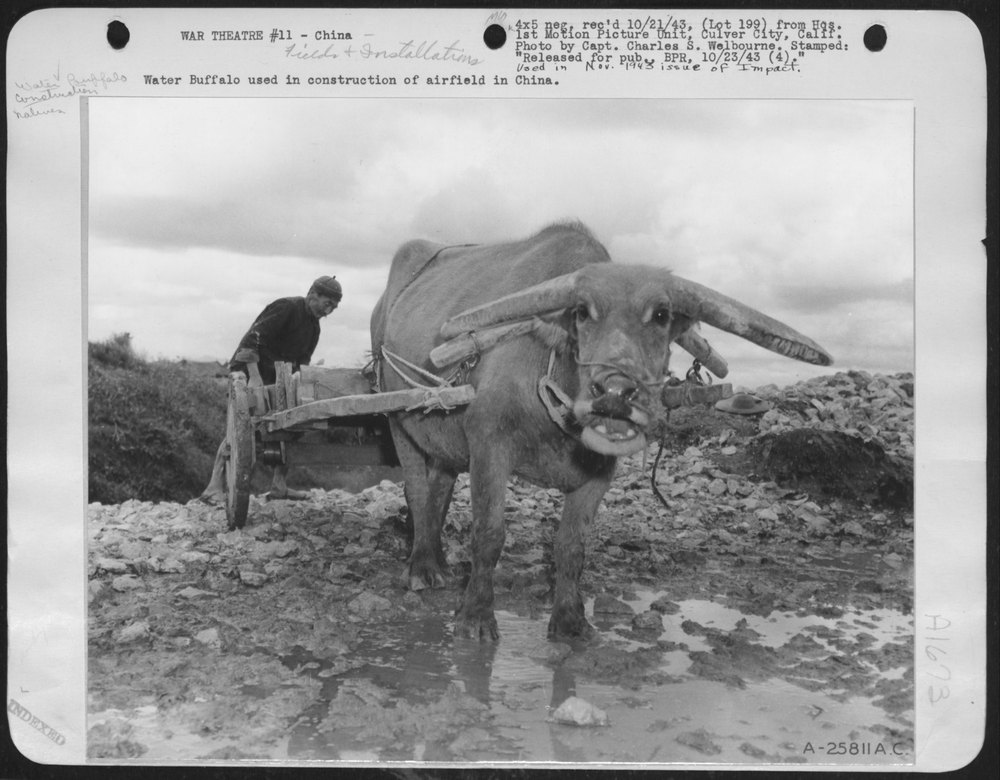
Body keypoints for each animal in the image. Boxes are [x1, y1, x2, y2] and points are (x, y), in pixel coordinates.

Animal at [371, 222, 831, 640]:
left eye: (661, 314)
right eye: (581, 311)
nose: (614, 393)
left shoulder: (598, 475)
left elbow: (572, 546)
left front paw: (570, 620)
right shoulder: (489, 446)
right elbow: (489, 534)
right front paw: (475, 617)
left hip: (443, 443)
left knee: (440, 488)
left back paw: (438, 561)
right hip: (397, 421)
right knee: (417, 491)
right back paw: (422, 568)